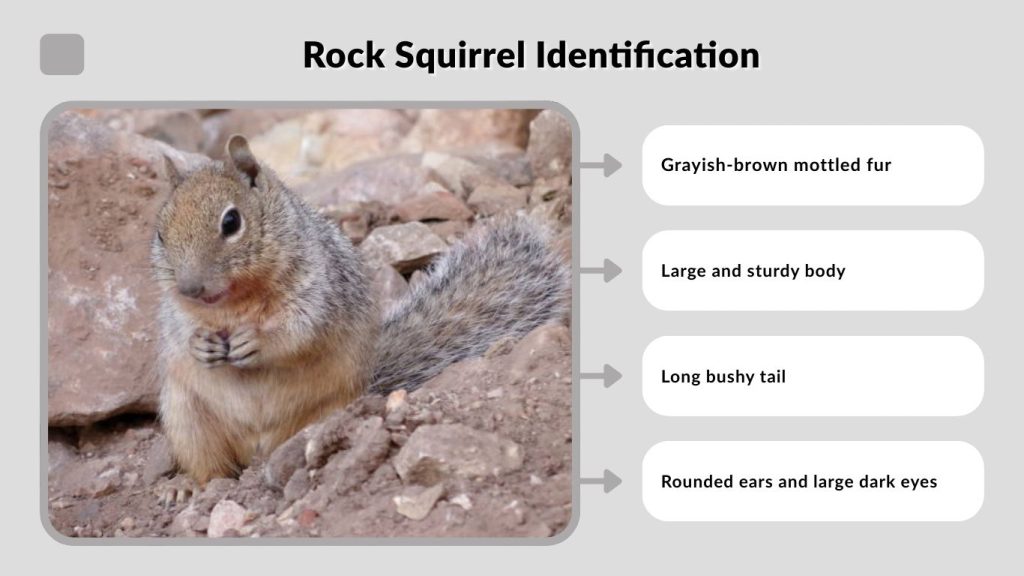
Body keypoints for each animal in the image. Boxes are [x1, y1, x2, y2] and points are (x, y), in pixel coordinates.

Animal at [151, 135, 569, 483]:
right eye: (160, 232)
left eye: (231, 221)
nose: (190, 287)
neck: (235, 302)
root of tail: (259, 449)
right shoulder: (177, 315)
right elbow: (180, 335)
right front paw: (200, 345)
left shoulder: (318, 291)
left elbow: (298, 332)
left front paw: (256, 341)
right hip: (186, 419)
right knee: (211, 469)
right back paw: (187, 488)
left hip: (329, 411)